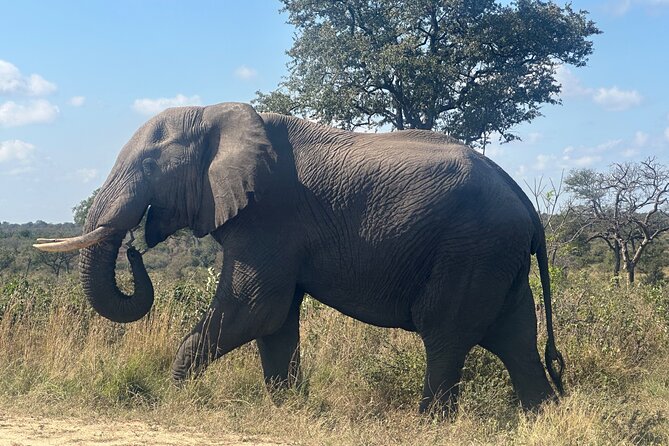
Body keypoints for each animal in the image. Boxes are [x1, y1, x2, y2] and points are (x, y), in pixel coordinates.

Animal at [36, 102, 564, 414]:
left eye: (149, 165)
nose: (133, 248)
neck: (213, 115)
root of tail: (527, 205)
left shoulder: (269, 217)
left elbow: (254, 309)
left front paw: (173, 398)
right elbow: (275, 321)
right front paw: (287, 408)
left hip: (471, 250)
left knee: (446, 333)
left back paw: (430, 422)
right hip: (496, 258)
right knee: (515, 338)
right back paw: (540, 416)